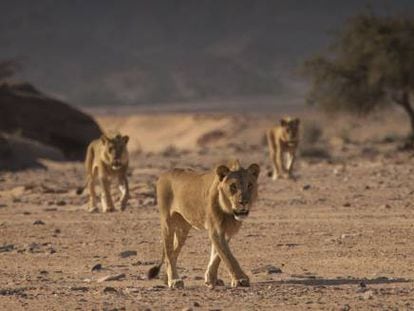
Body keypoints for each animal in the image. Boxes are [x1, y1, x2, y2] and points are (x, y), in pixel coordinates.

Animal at [147, 161, 260, 290]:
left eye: (250, 185)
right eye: (233, 186)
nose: (244, 202)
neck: (228, 211)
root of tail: (165, 173)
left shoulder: (226, 232)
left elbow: (217, 256)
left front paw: (211, 279)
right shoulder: (216, 230)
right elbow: (229, 257)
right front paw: (240, 279)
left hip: (182, 229)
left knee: (173, 253)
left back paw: (167, 279)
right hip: (167, 223)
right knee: (169, 253)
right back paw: (174, 280)